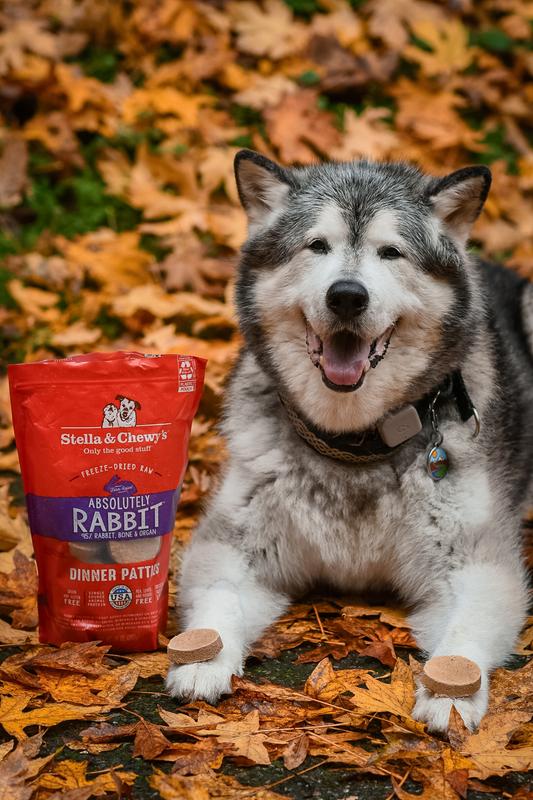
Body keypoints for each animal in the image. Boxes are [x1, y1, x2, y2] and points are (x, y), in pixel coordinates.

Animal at [167, 148, 532, 732]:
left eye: (391, 252)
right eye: (318, 245)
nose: (346, 296)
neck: (353, 443)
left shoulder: (477, 566)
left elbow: (464, 635)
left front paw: (451, 693)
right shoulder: (233, 543)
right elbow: (219, 597)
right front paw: (203, 657)